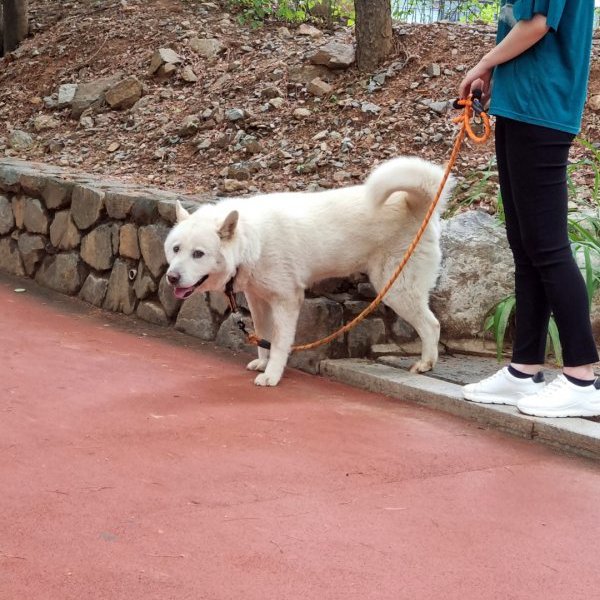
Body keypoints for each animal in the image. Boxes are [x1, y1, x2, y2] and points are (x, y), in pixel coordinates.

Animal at [162, 157, 452, 386]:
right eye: (176, 249)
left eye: (198, 254)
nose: (171, 277)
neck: (252, 240)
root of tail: (417, 204)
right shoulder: (258, 301)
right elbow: (263, 337)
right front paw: (263, 363)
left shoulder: (287, 301)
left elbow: (279, 342)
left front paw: (272, 375)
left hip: (396, 289)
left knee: (432, 325)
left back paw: (426, 363)